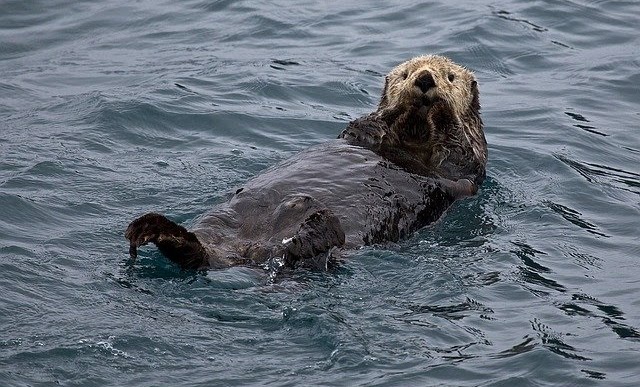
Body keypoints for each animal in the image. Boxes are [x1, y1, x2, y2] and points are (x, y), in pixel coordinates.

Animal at [124, 56, 484, 272]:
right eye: (405, 73)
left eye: (451, 76)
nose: (424, 79)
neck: (411, 138)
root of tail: (251, 254)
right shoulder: (360, 135)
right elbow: (365, 126)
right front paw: (397, 107)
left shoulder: (466, 168)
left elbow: (458, 155)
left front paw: (440, 109)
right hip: (221, 222)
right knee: (197, 253)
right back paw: (152, 229)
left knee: (303, 253)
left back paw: (311, 227)